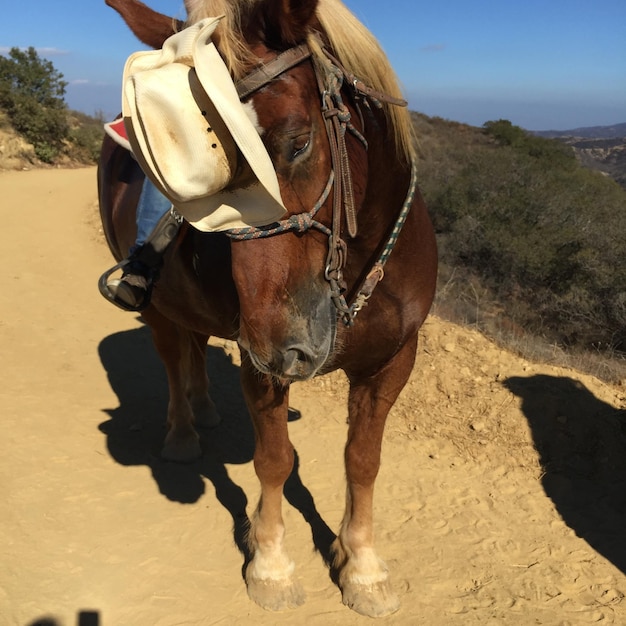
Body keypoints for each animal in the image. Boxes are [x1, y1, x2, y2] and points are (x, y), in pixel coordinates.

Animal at [100, 0, 436, 616]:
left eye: (299, 142)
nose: (283, 347)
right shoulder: (263, 366)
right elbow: (275, 459)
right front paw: (271, 565)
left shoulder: (392, 362)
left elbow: (363, 459)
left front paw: (362, 567)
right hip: (162, 311)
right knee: (172, 358)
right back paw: (183, 433)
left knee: (195, 348)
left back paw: (206, 407)